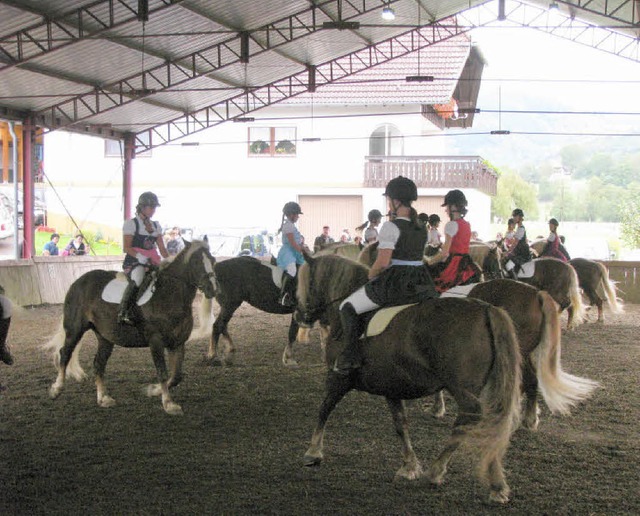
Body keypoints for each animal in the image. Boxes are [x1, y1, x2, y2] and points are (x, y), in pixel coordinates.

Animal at [43, 241, 218, 416]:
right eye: (195, 262)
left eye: (213, 260)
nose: (212, 289)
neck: (169, 295)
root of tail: (79, 281)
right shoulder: (156, 341)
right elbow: (162, 372)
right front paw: (168, 404)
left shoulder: (178, 343)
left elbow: (176, 376)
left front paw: (153, 390)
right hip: (75, 329)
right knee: (65, 353)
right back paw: (56, 389)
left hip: (105, 337)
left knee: (98, 363)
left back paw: (103, 398)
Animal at [298, 254, 524, 504]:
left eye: (307, 282)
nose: (302, 316)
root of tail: (486, 309)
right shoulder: (391, 386)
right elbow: (401, 424)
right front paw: (409, 467)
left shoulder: (339, 377)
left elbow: (324, 408)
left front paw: (313, 452)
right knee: (493, 424)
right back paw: (497, 485)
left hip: (462, 388)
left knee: (469, 418)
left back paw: (436, 472)